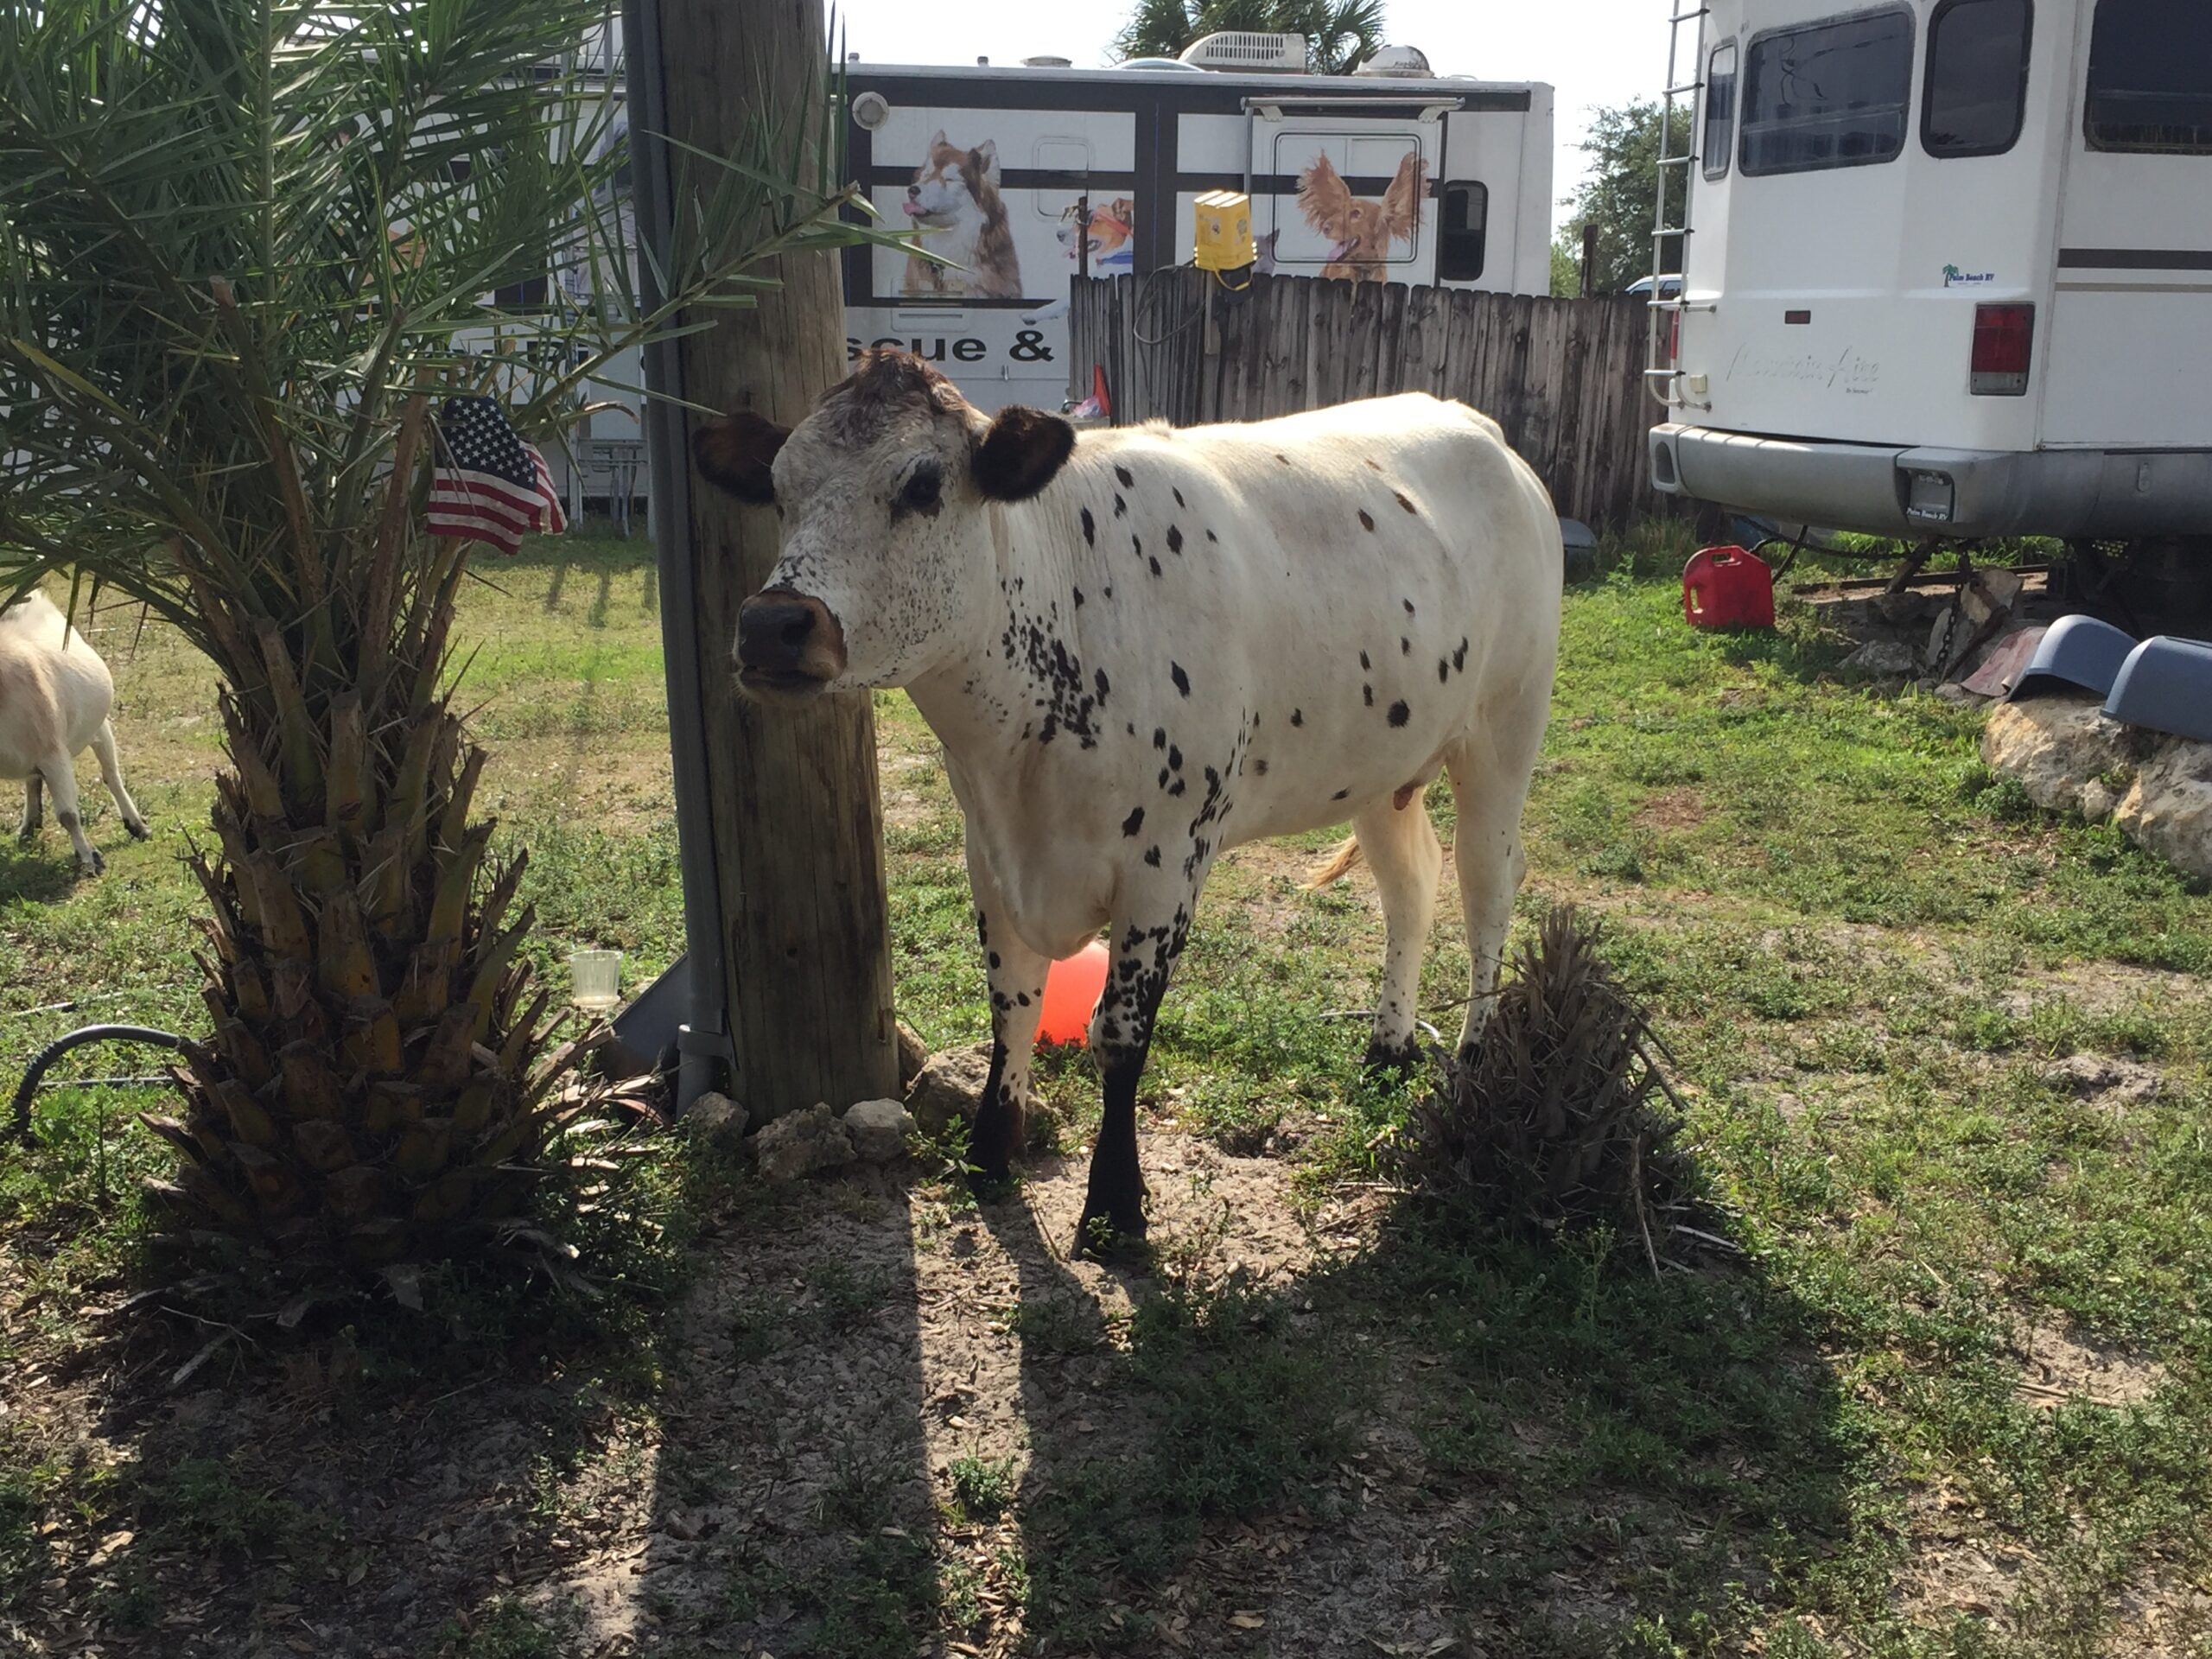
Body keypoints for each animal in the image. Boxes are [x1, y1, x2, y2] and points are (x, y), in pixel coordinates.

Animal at [0, 590, 150, 875]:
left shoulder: (54, 754)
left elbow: (68, 815)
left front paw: (89, 858)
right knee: (33, 780)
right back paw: (29, 827)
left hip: (98, 726)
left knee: (112, 775)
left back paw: (137, 826)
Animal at [692, 349, 1560, 1254]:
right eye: (780, 489)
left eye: (922, 485)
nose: (772, 626)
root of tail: (1479, 428)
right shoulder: (989, 853)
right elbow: (1013, 1006)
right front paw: (990, 1154)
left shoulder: (1167, 863)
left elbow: (1117, 1035)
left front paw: (1115, 1208)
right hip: (1382, 769)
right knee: (1410, 888)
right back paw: (1389, 1047)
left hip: (1504, 735)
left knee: (1487, 890)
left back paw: (1472, 1064)